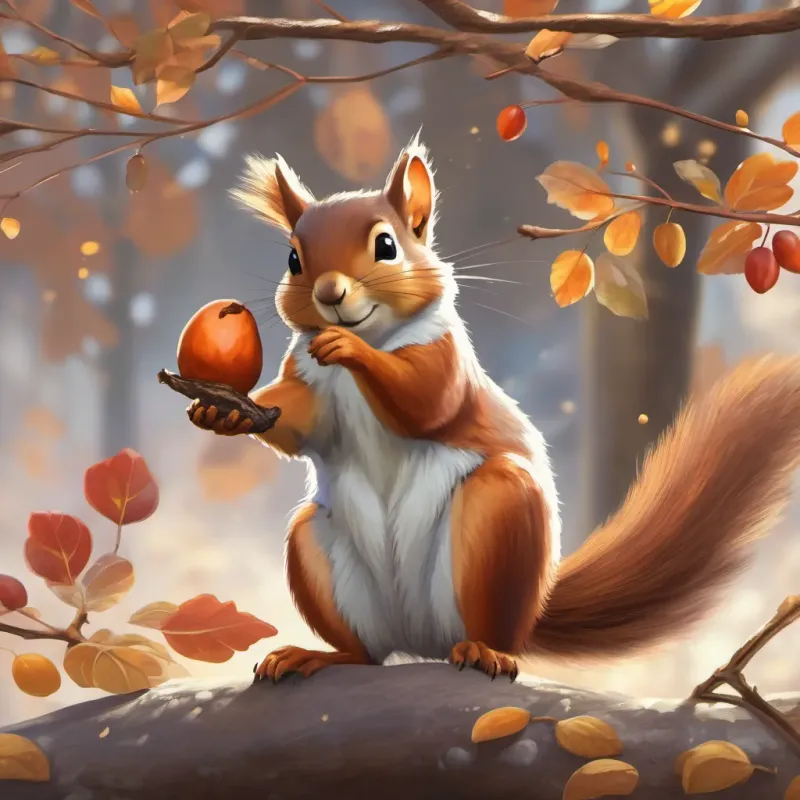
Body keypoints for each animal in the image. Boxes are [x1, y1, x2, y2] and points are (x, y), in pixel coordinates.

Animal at [187, 133, 800, 683]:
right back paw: (318, 656)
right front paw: (222, 414)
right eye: (293, 258)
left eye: (387, 246)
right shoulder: (309, 387)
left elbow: (425, 401)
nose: (330, 294)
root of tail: (421, 638)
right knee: (365, 653)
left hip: (499, 521)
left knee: (489, 625)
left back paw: (485, 651)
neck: (375, 338)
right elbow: (296, 423)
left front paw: (350, 349)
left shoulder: (446, 360)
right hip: (315, 548)